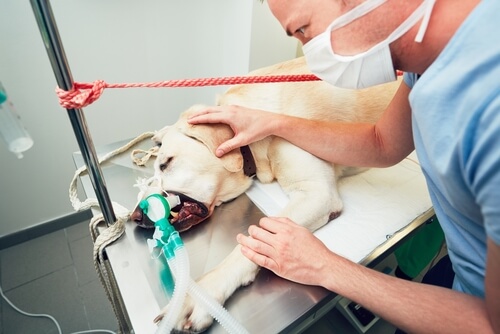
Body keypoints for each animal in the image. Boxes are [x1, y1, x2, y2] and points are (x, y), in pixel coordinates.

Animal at [131, 57, 400, 332]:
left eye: (167, 163)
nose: (135, 216)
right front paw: (163, 132)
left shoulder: (317, 192)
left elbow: (251, 239)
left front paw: (201, 295)